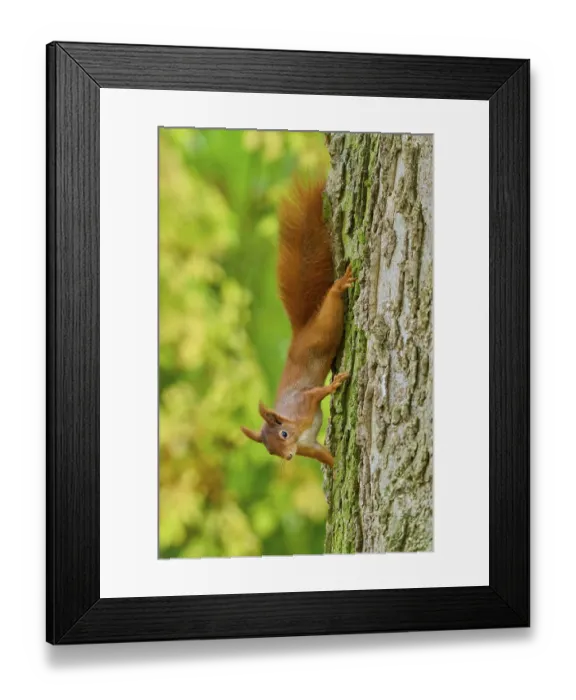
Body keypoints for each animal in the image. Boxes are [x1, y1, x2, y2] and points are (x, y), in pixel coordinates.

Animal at [240, 179, 355, 468]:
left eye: (283, 433)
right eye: (270, 450)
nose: (289, 457)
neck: (296, 428)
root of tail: (301, 332)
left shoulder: (304, 402)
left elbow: (318, 392)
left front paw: (335, 384)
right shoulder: (309, 446)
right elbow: (324, 456)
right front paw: (337, 468)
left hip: (325, 325)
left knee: (332, 301)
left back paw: (339, 286)